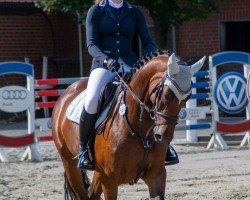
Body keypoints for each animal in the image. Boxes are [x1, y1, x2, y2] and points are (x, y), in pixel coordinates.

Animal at [51, 50, 205, 199]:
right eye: (167, 95)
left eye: (187, 98)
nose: (164, 136)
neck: (140, 130)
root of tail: (67, 93)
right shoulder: (109, 180)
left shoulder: (156, 175)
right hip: (70, 164)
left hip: (98, 173)